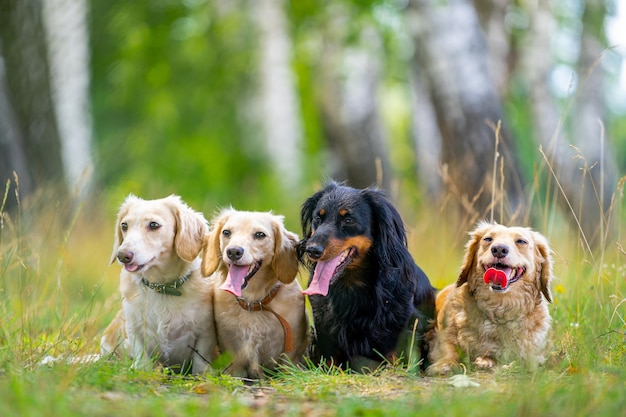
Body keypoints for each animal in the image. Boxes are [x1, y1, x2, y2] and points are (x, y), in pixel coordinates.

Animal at [98, 195, 214, 374]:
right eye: (124, 225)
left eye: (153, 225)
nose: (122, 256)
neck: (162, 288)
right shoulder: (135, 329)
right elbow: (142, 358)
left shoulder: (205, 333)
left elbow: (200, 361)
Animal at [202, 208, 310, 376]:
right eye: (226, 232)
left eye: (260, 234)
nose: (233, 251)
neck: (254, 302)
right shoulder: (233, 354)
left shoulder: (290, 355)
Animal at [424, 221, 552, 374]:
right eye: (488, 239)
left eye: (521, 241)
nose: (499, 249)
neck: (499, 308)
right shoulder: (443, 336)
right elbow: (448, 348)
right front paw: (445, 363)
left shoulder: (531, 355)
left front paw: (488, 362)